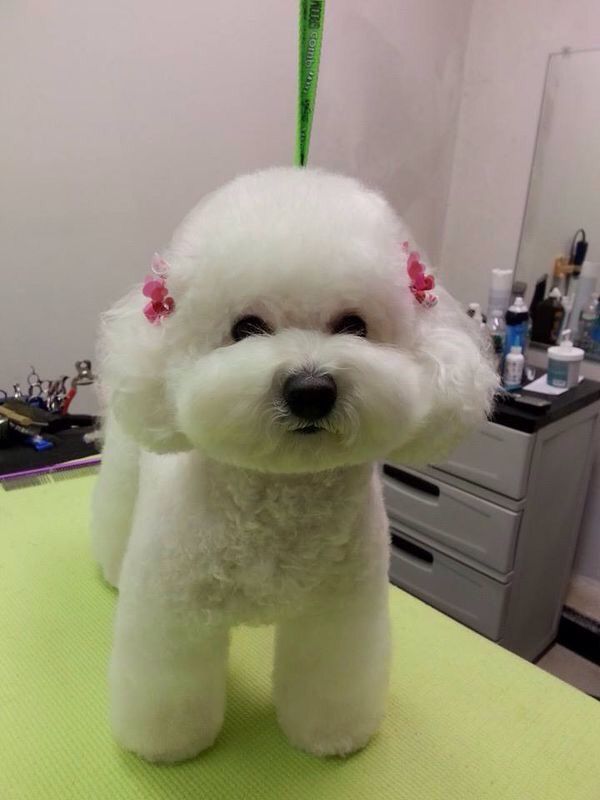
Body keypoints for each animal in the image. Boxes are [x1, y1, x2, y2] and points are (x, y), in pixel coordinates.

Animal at [92, 169, 496, 764]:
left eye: (354, 324)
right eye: (246, 327)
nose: (311, 390)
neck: (280, 499)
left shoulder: (339, 613)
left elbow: (331, 678)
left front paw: (331, 736)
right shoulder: (174, 613)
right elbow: (169, 685)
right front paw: (168, 746)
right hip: (124, 469)